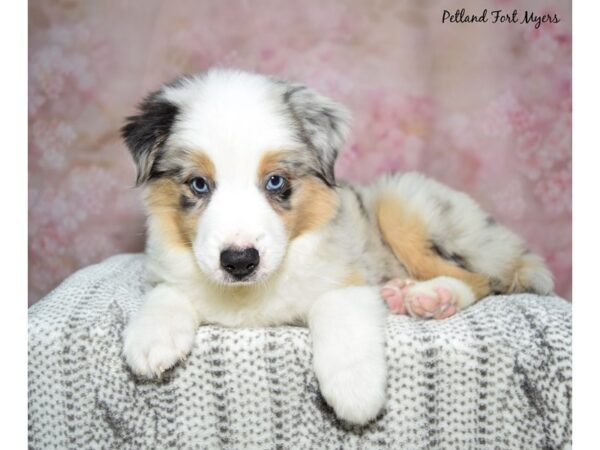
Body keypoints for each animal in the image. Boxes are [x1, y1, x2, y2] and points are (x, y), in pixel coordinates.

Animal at [120, 69, 552, 426]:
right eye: (198, 184)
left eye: (276, 181)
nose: (239, 262)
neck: (251, 293)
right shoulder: (168, 267)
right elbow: (168, 291)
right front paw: (151, 338)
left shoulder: (347, 276)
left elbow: (339, 320)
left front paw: (355, 392)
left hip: (402, 204)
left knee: (483, 278)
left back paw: (433, 296)